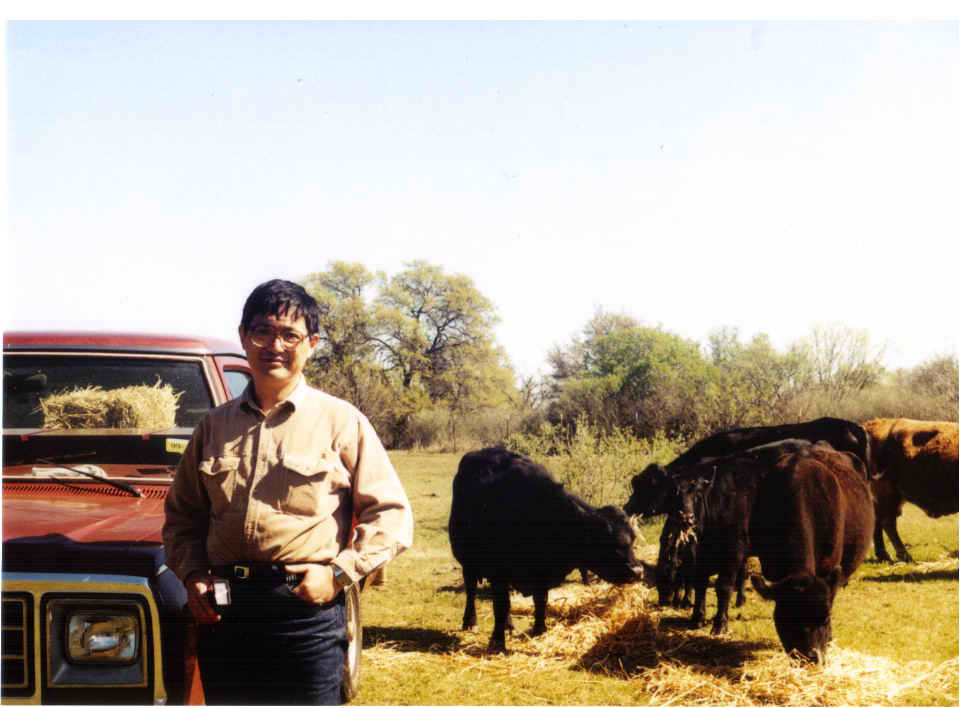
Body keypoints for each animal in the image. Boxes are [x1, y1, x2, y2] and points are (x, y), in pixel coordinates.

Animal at [450, 448, 644, 652]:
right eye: (608, 542)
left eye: (632, 539)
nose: (637, 571)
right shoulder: (498, 572)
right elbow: (500, 606)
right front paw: (497, 641)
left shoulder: (541, 575)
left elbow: (540, 601)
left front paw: (539, 630)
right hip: (467, 563)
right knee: (471, 590)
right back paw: (470, 622)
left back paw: (509, 626)